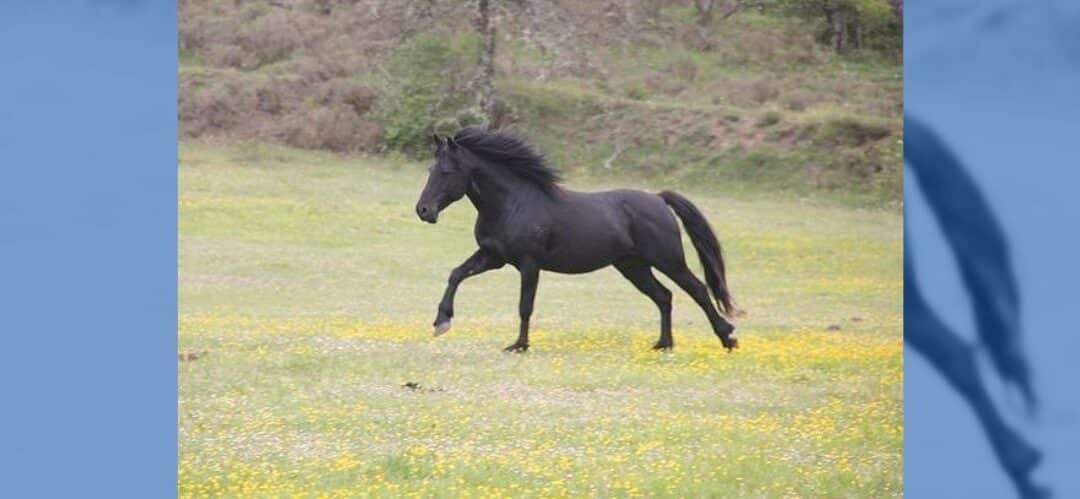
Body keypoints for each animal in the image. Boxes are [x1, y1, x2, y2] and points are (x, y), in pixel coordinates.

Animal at [414, 126, 738, 352]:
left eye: (446, 171)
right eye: (430, 169)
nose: (423, 210)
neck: (511, 204)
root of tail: (659, 199)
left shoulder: (529, 263)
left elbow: (525, 305)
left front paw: (519, 345)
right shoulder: (493, 257)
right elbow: (457, 274)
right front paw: (441, 322)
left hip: (668, 260)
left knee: (697, 289)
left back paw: (727, 337)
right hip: (633, 266)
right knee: (664, 296)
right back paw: (663, 344)